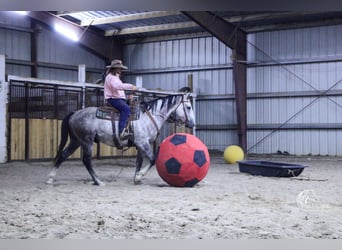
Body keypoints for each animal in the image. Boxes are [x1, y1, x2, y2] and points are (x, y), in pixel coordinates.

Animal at [47, 87, 195, 185]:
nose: (192, 123)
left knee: (64, 154)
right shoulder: (143, 143)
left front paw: (136, 178)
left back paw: (50, 178)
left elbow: (139, 162)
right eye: (188, 107)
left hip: (76, 141)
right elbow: (153, 159)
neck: (149, 117)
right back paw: (98, 181)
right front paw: (139, 176)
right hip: (86, 141)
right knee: (86, 160)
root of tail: (74, 113)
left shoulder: (140, 145)